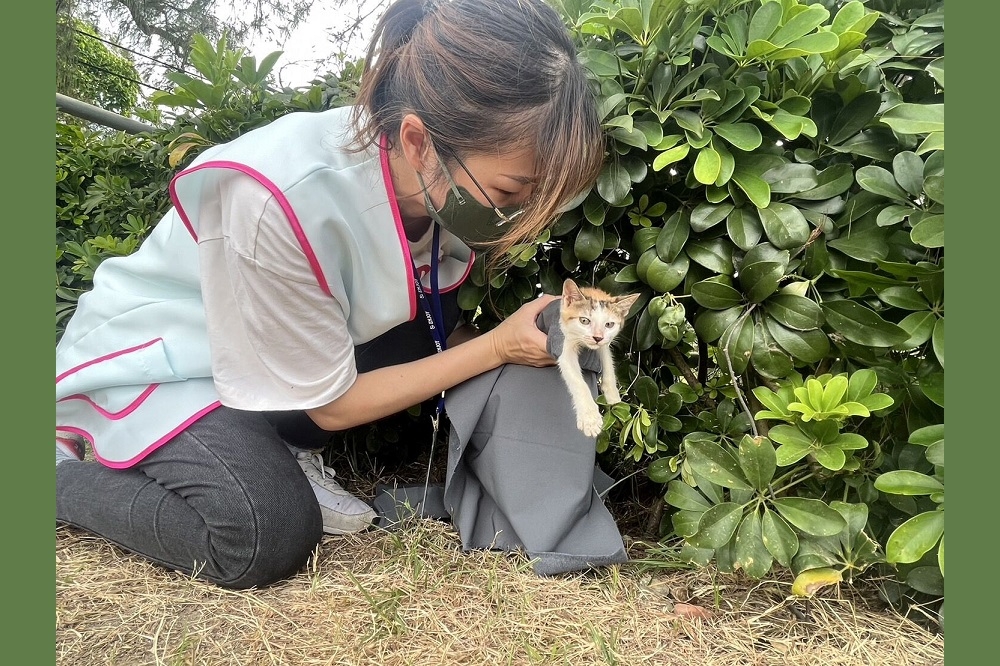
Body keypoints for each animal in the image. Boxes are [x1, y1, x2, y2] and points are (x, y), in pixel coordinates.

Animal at [560, 276, 636, 436]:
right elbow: (578, 382)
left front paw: (614, 398)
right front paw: (590, 419)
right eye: (584, 321)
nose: (597, 337)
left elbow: (608, 362)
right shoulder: (564, 343)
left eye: (609, 324)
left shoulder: (605, 344)